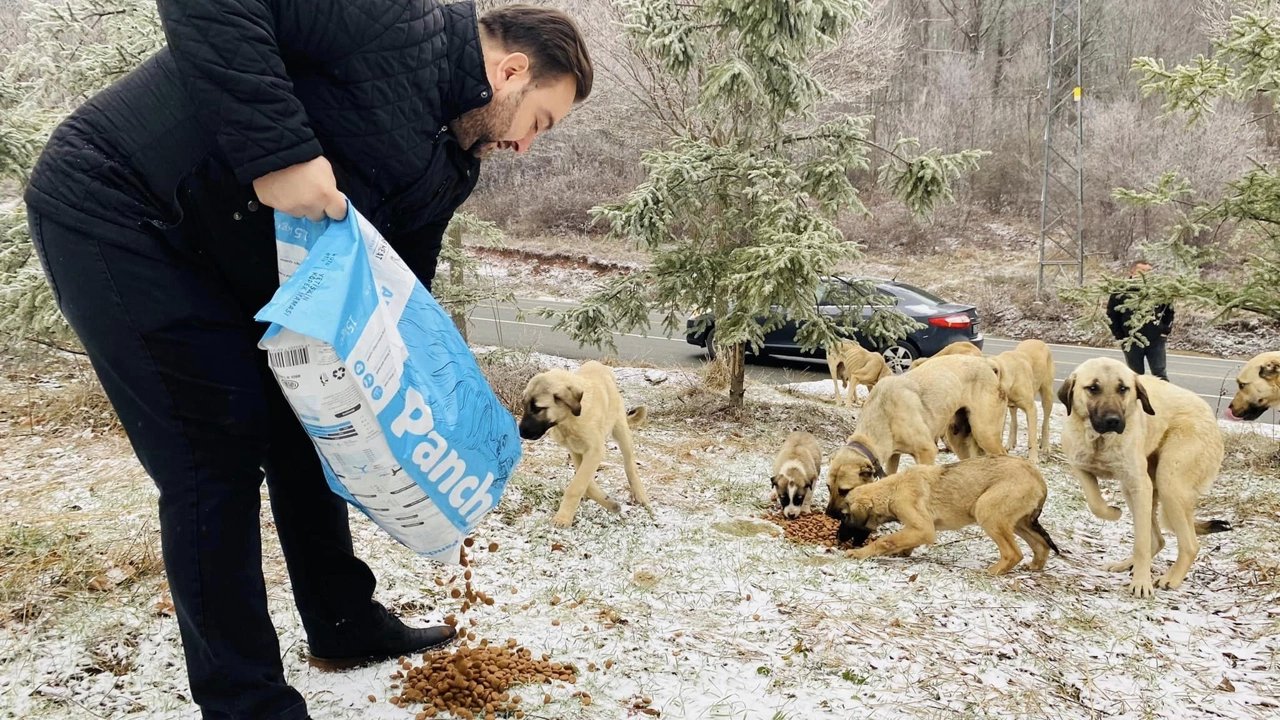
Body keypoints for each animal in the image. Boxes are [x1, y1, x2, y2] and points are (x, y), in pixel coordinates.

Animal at [514, 361, 650, 525]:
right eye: (524, 405)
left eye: (538, 409)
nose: (520, 432)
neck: (569, 419)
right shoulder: (576, 451)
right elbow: (585, 481)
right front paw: (609, 503)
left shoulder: (595, 451)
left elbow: (577, 485)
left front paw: (563, 518)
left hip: (621, 432)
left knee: (630, 466)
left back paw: (640, 495)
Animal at [829, 453, 1059, 571]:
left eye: (845, 516)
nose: (838, 539)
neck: (893, 489)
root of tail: (1039, 478)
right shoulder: (917, 529)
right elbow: (901, 541)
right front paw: (903, 551)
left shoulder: (924, 528)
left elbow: (885, 540)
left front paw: (859, 553)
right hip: (1018, 522)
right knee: (1040, 545)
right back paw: (1034, 566)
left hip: (987, 511)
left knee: (1014, 553)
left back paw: (991, 572)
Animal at [1059, 356, 1228, 597]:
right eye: (1093, 388)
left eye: (1123, 389)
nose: (1113, 421)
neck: (1101, 441)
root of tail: (1209, 414)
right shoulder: (1081, 468)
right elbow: (1096, 503)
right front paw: (1113, 512)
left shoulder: (1140, 486)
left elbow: (1140, 543)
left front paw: (1141, 583)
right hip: (1135, 490)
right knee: (1158, 540)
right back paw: (1125, 564)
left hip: (1169, 484)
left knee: (1188, 544)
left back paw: (1171, 578)